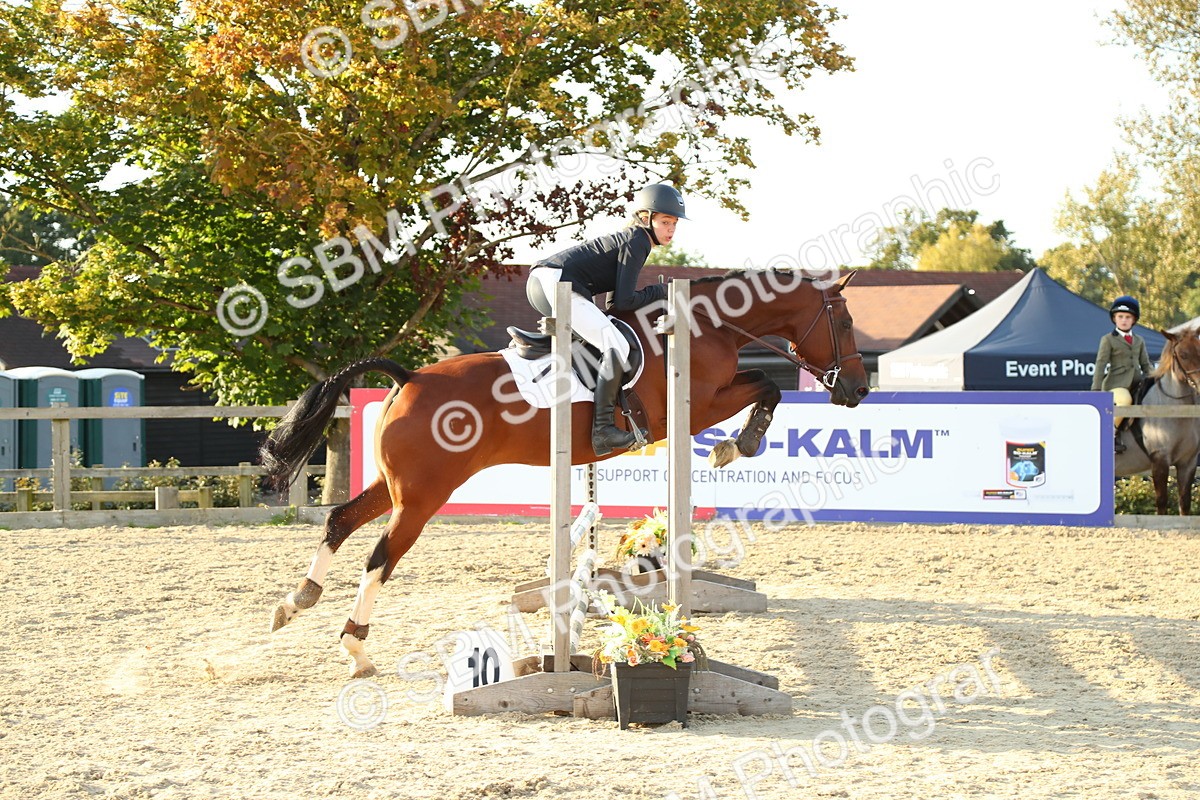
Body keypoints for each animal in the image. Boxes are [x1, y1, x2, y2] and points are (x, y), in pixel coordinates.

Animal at [262, 269, 870, 676]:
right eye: (843, 320)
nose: (859, 389)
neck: (706, 324)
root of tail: (409, 376)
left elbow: (763, 385)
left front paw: (737, 443)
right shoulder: (697, 405)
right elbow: (767, 386)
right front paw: (737, 444)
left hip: (397, 486)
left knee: (340, 520)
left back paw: (297, 600)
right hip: (423, 496)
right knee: (380, 556)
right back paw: (355, 644)